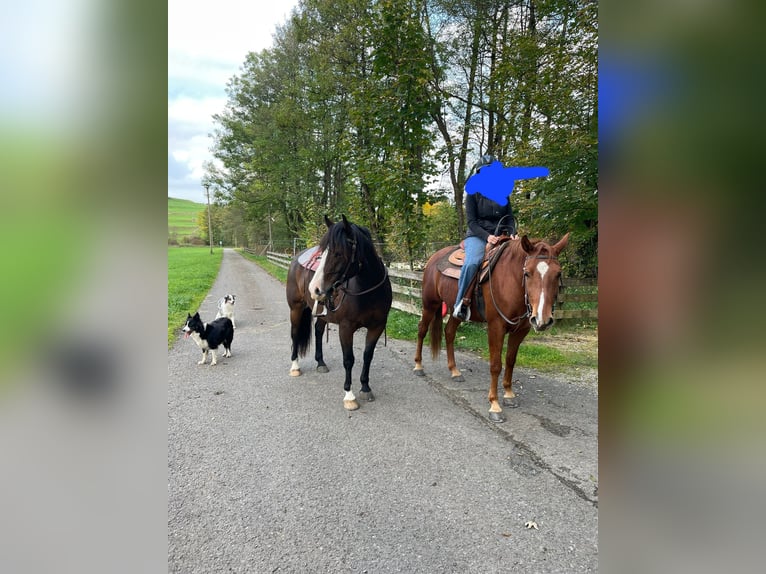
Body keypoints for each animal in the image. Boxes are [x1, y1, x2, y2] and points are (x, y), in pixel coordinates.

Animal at [286, 215, 393, 411]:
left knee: (318, 331)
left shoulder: (377, 326)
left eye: (338, 253)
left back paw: (321, 363)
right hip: (295, 308)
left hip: (322, 312)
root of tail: (296, 258)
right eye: (324, 253)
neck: (367, 290)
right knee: (295, 333)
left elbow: (368, 356)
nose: (315, 288)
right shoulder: (346, 328)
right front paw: (349, 396)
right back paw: (295, 367)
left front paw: (365, 388)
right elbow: (348, 359)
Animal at [413, 233, 570, 423]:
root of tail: (433, 257)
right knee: (421, 330)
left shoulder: (520, 330)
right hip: (430, 305)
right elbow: (496, 365)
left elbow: (510, 361)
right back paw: (418, 366)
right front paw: (494, 405)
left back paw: (455, 371)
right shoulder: (496, 327)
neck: (510, 281)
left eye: (558, 273)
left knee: (449, 332)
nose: (543, 319)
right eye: (527, 273)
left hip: (457, 312)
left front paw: (509, 394)